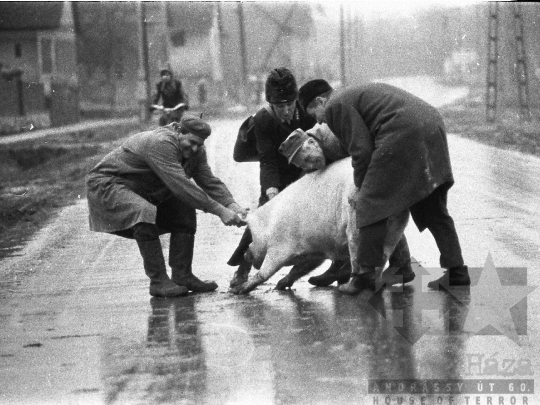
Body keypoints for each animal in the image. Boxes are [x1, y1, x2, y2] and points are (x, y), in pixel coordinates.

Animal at [228, 157, 410, 294]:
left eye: (250, 236)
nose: (246, 253)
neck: (269, 223)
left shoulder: (280, 246)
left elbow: (266, 271)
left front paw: (239, 290)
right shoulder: (315, 250)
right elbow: (300, 268)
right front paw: (281, 285)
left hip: (356, 225)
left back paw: (349, 287)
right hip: (396, 225)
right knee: (385, 253)